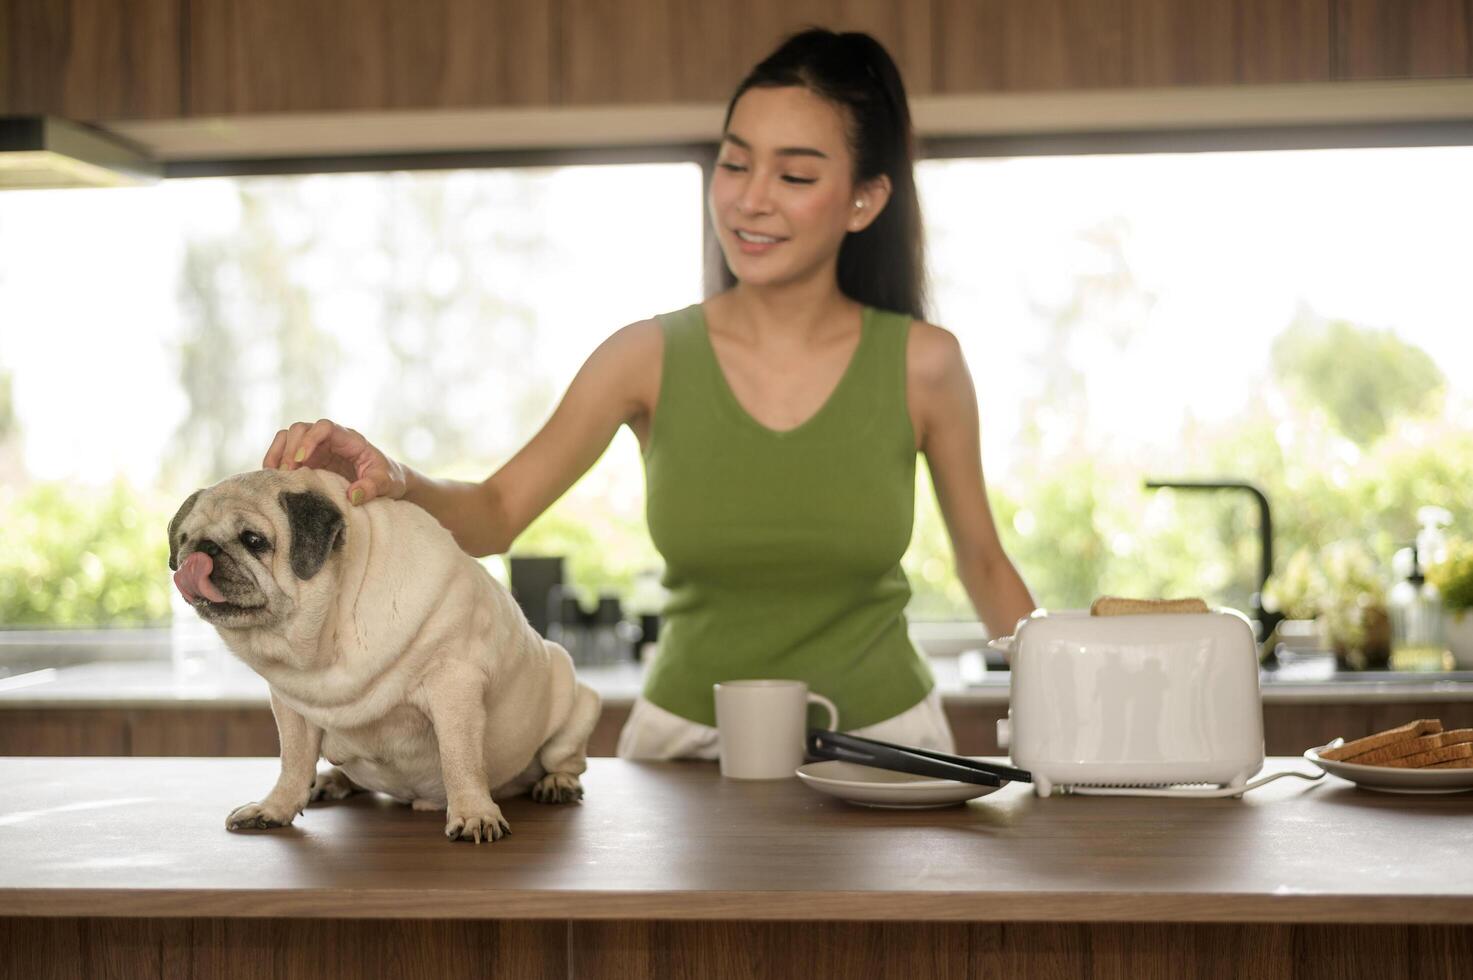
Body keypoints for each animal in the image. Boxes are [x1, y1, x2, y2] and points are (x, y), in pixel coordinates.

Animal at [172, 465, 603, 842]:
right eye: (184, 539)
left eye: (253, 540)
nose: (202, 550)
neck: (330, 630)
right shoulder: (291, 707)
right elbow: (292, 762)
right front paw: (274, 809)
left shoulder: (454, 686)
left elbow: (461, 758)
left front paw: (474, 813)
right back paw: (330, 780)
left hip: (576, 703)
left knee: (568, 760)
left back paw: (557, 783)